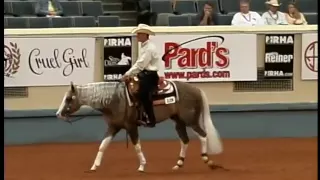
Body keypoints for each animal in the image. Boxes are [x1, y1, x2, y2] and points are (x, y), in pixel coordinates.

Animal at [55, 79, 222, 173]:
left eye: (69, 98)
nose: (58, 114)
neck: (116, 100)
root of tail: (196, 89)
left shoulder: (131, 127)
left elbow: (137, 146)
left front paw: (142, 166)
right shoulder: (113, 127)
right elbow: (102, 146)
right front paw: (94, 167)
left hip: (190, 120)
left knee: (203, 135)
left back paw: (207, 160)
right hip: (178, 121)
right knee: (185, 140)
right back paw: (178, 164)